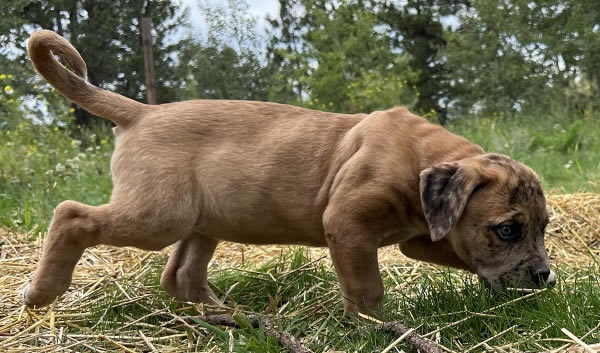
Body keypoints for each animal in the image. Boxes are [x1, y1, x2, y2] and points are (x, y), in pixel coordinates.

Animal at [23, 31, 556, 314]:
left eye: (544, 227)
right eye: (507, 230)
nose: (546, 279)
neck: (419, 158)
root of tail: (141, 112)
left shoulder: (422, 236)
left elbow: (457, 253)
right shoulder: (349, 226)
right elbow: (367, 288)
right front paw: (375, 326)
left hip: (201, 222)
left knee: (180, 276)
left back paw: (223, 315)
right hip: (158, 216)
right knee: (71, 214)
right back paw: (42, 291)